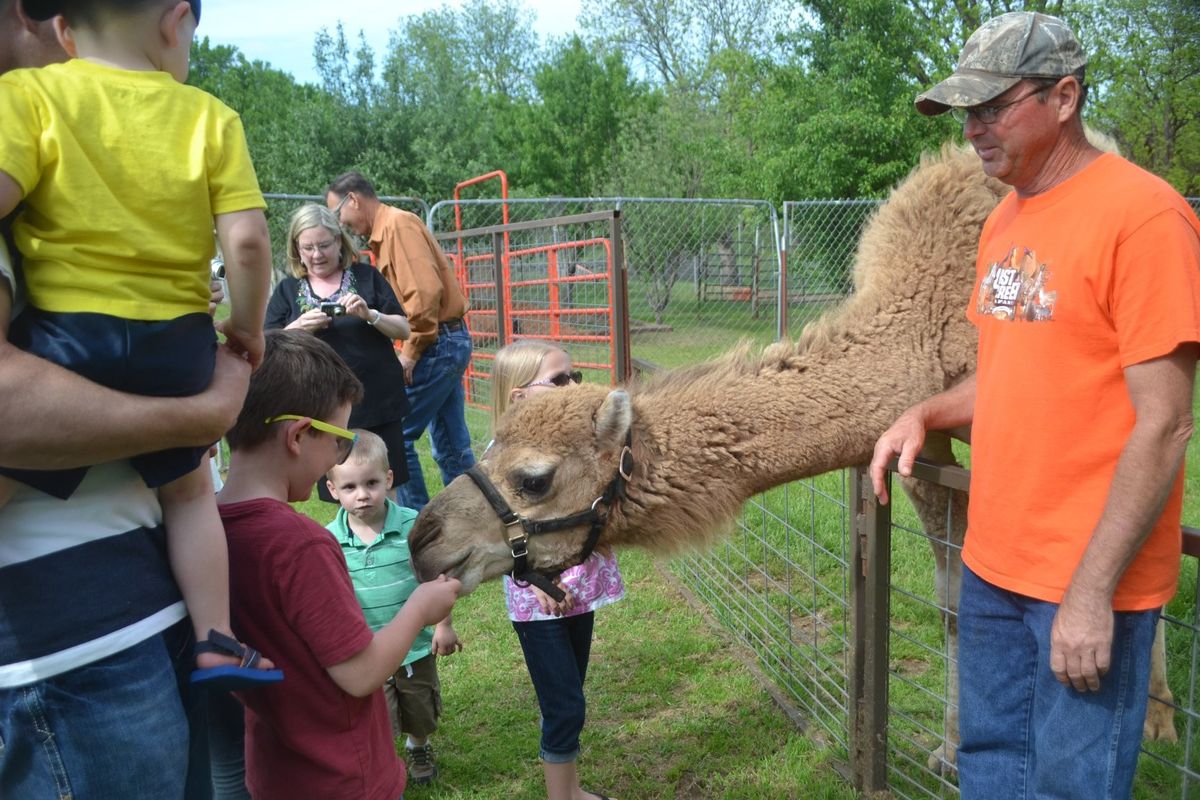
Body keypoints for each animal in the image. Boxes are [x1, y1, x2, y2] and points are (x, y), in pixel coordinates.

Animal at [408, 140, 1176, 772]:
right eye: (490, 444)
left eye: (533, 478)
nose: (424, 538)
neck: (925, 317)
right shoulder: (922, 441)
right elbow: (955, 598)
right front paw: (950, 750)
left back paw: (1161, 721)